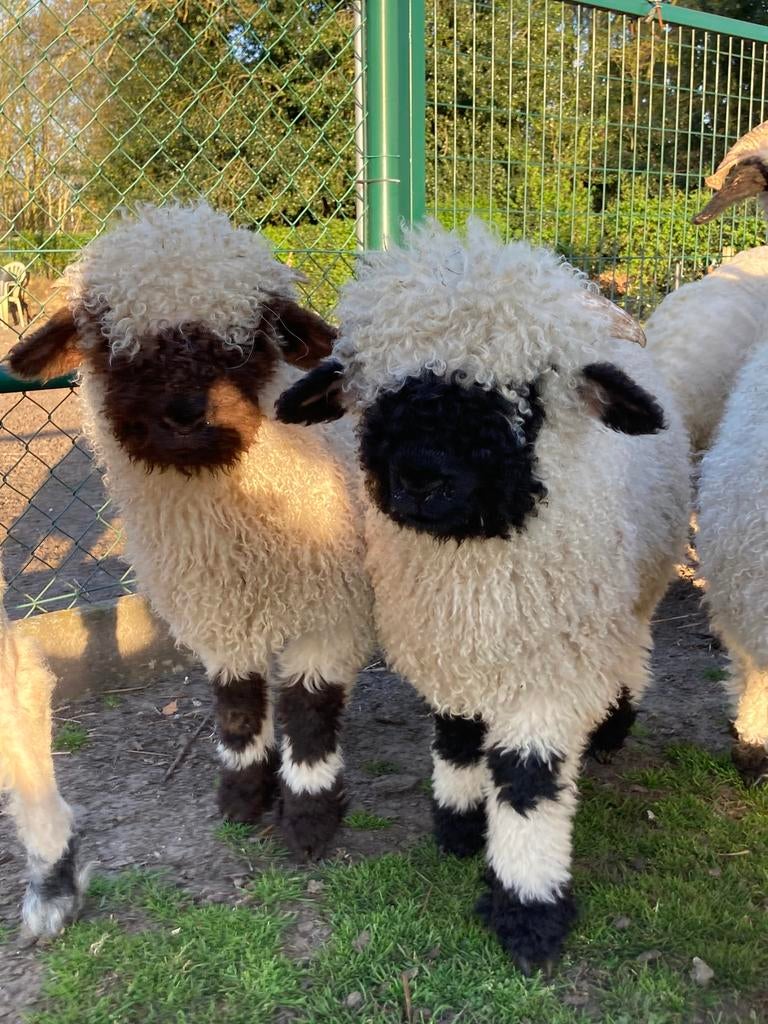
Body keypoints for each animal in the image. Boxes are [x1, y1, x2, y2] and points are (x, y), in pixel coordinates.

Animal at [8, 202, 375, 859]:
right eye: (113, 343)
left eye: (247, 339)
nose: (185, 412)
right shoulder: (216, 608)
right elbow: (237, 702)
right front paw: (243, 798)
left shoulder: (332, 609)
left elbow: (309, 711)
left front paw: (309, 821)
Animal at [276, 219, 690, 970]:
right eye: (375, 389)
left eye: (528, 392)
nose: (420, 478)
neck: (475, 578)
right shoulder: (450, 643)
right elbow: (459, 734)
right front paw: (462, 826)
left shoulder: (548, 676)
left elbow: (527, 786)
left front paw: (527, 912)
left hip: (635, 589)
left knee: (633, 647)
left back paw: (612, 726)